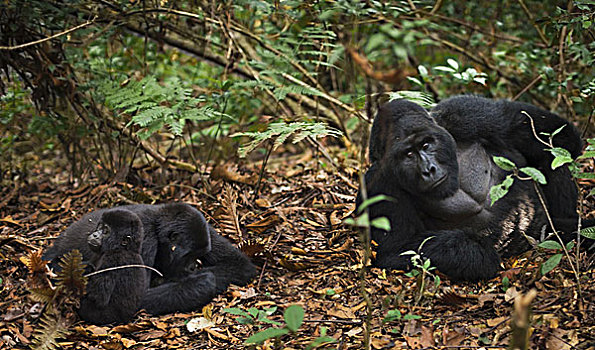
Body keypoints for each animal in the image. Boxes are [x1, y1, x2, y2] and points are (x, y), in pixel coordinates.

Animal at [42, 202, 256, 322]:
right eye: (188, 256)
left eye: (200, 254)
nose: (193, 266)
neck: (158, 226)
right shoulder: (145, 240)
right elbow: (134, 301)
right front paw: (203, 282)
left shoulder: (205, 228)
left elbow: (240, 265)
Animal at [360, 95, 588, 282]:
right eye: (408, 154)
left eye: (426, 144)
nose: (428, 169)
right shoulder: (378, 186)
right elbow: (397, 249)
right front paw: (480, 255)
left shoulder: (463, 112)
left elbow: (536, 127)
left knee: (552, 154)